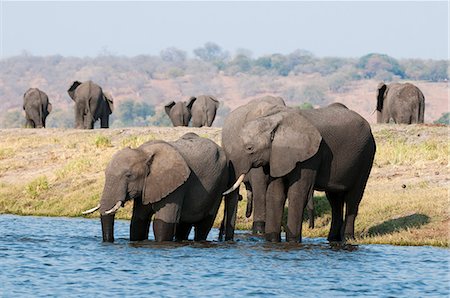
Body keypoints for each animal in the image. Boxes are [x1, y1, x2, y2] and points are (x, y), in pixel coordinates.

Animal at [82, 133, 229, 242]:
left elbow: (162, 223)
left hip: (220, 183)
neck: (143, 152)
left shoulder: (176, 186)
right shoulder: (147, 186)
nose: (110, 241)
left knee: (204, 225)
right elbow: (138, 221)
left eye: (129, 175)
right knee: (184, 225)